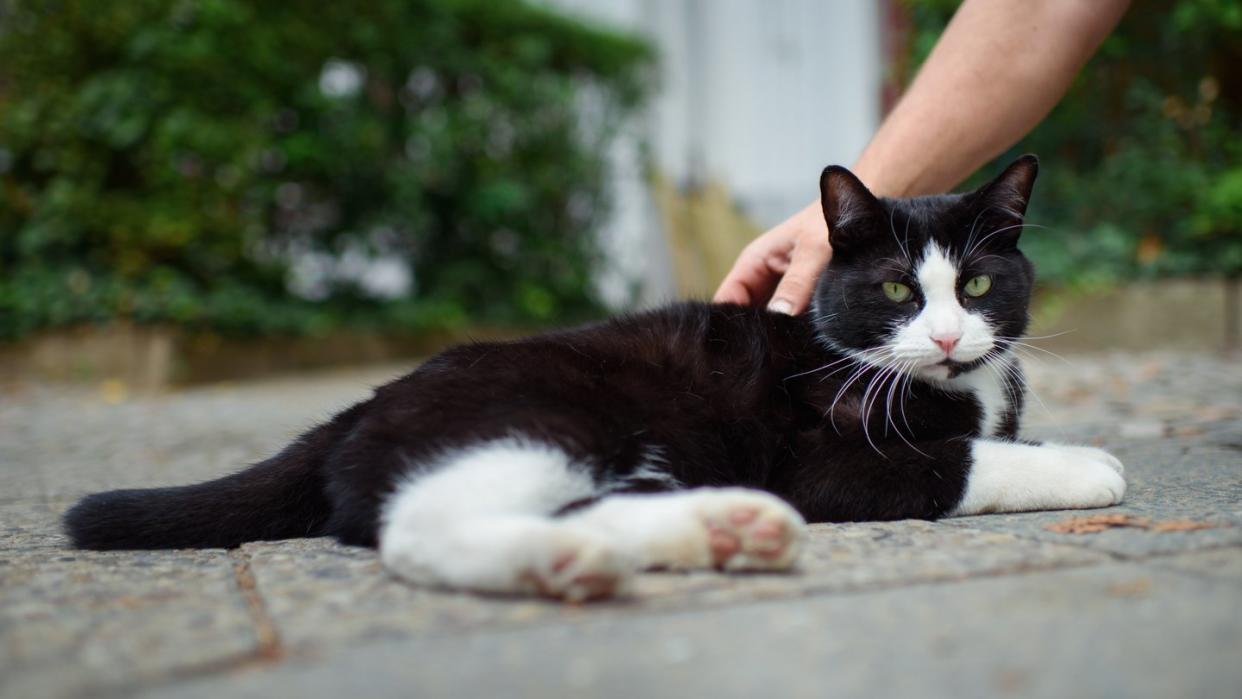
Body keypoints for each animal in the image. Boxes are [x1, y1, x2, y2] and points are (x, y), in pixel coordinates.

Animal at [65, 157, 1127, 600]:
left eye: (979, 283)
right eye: (899, 287)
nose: (947, 337)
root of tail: (365, 403)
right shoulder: (829, 451)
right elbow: (961, 460)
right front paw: (1087, 463)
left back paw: (717, 529)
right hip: (545, 414)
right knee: (423, 523)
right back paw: (568, 563)